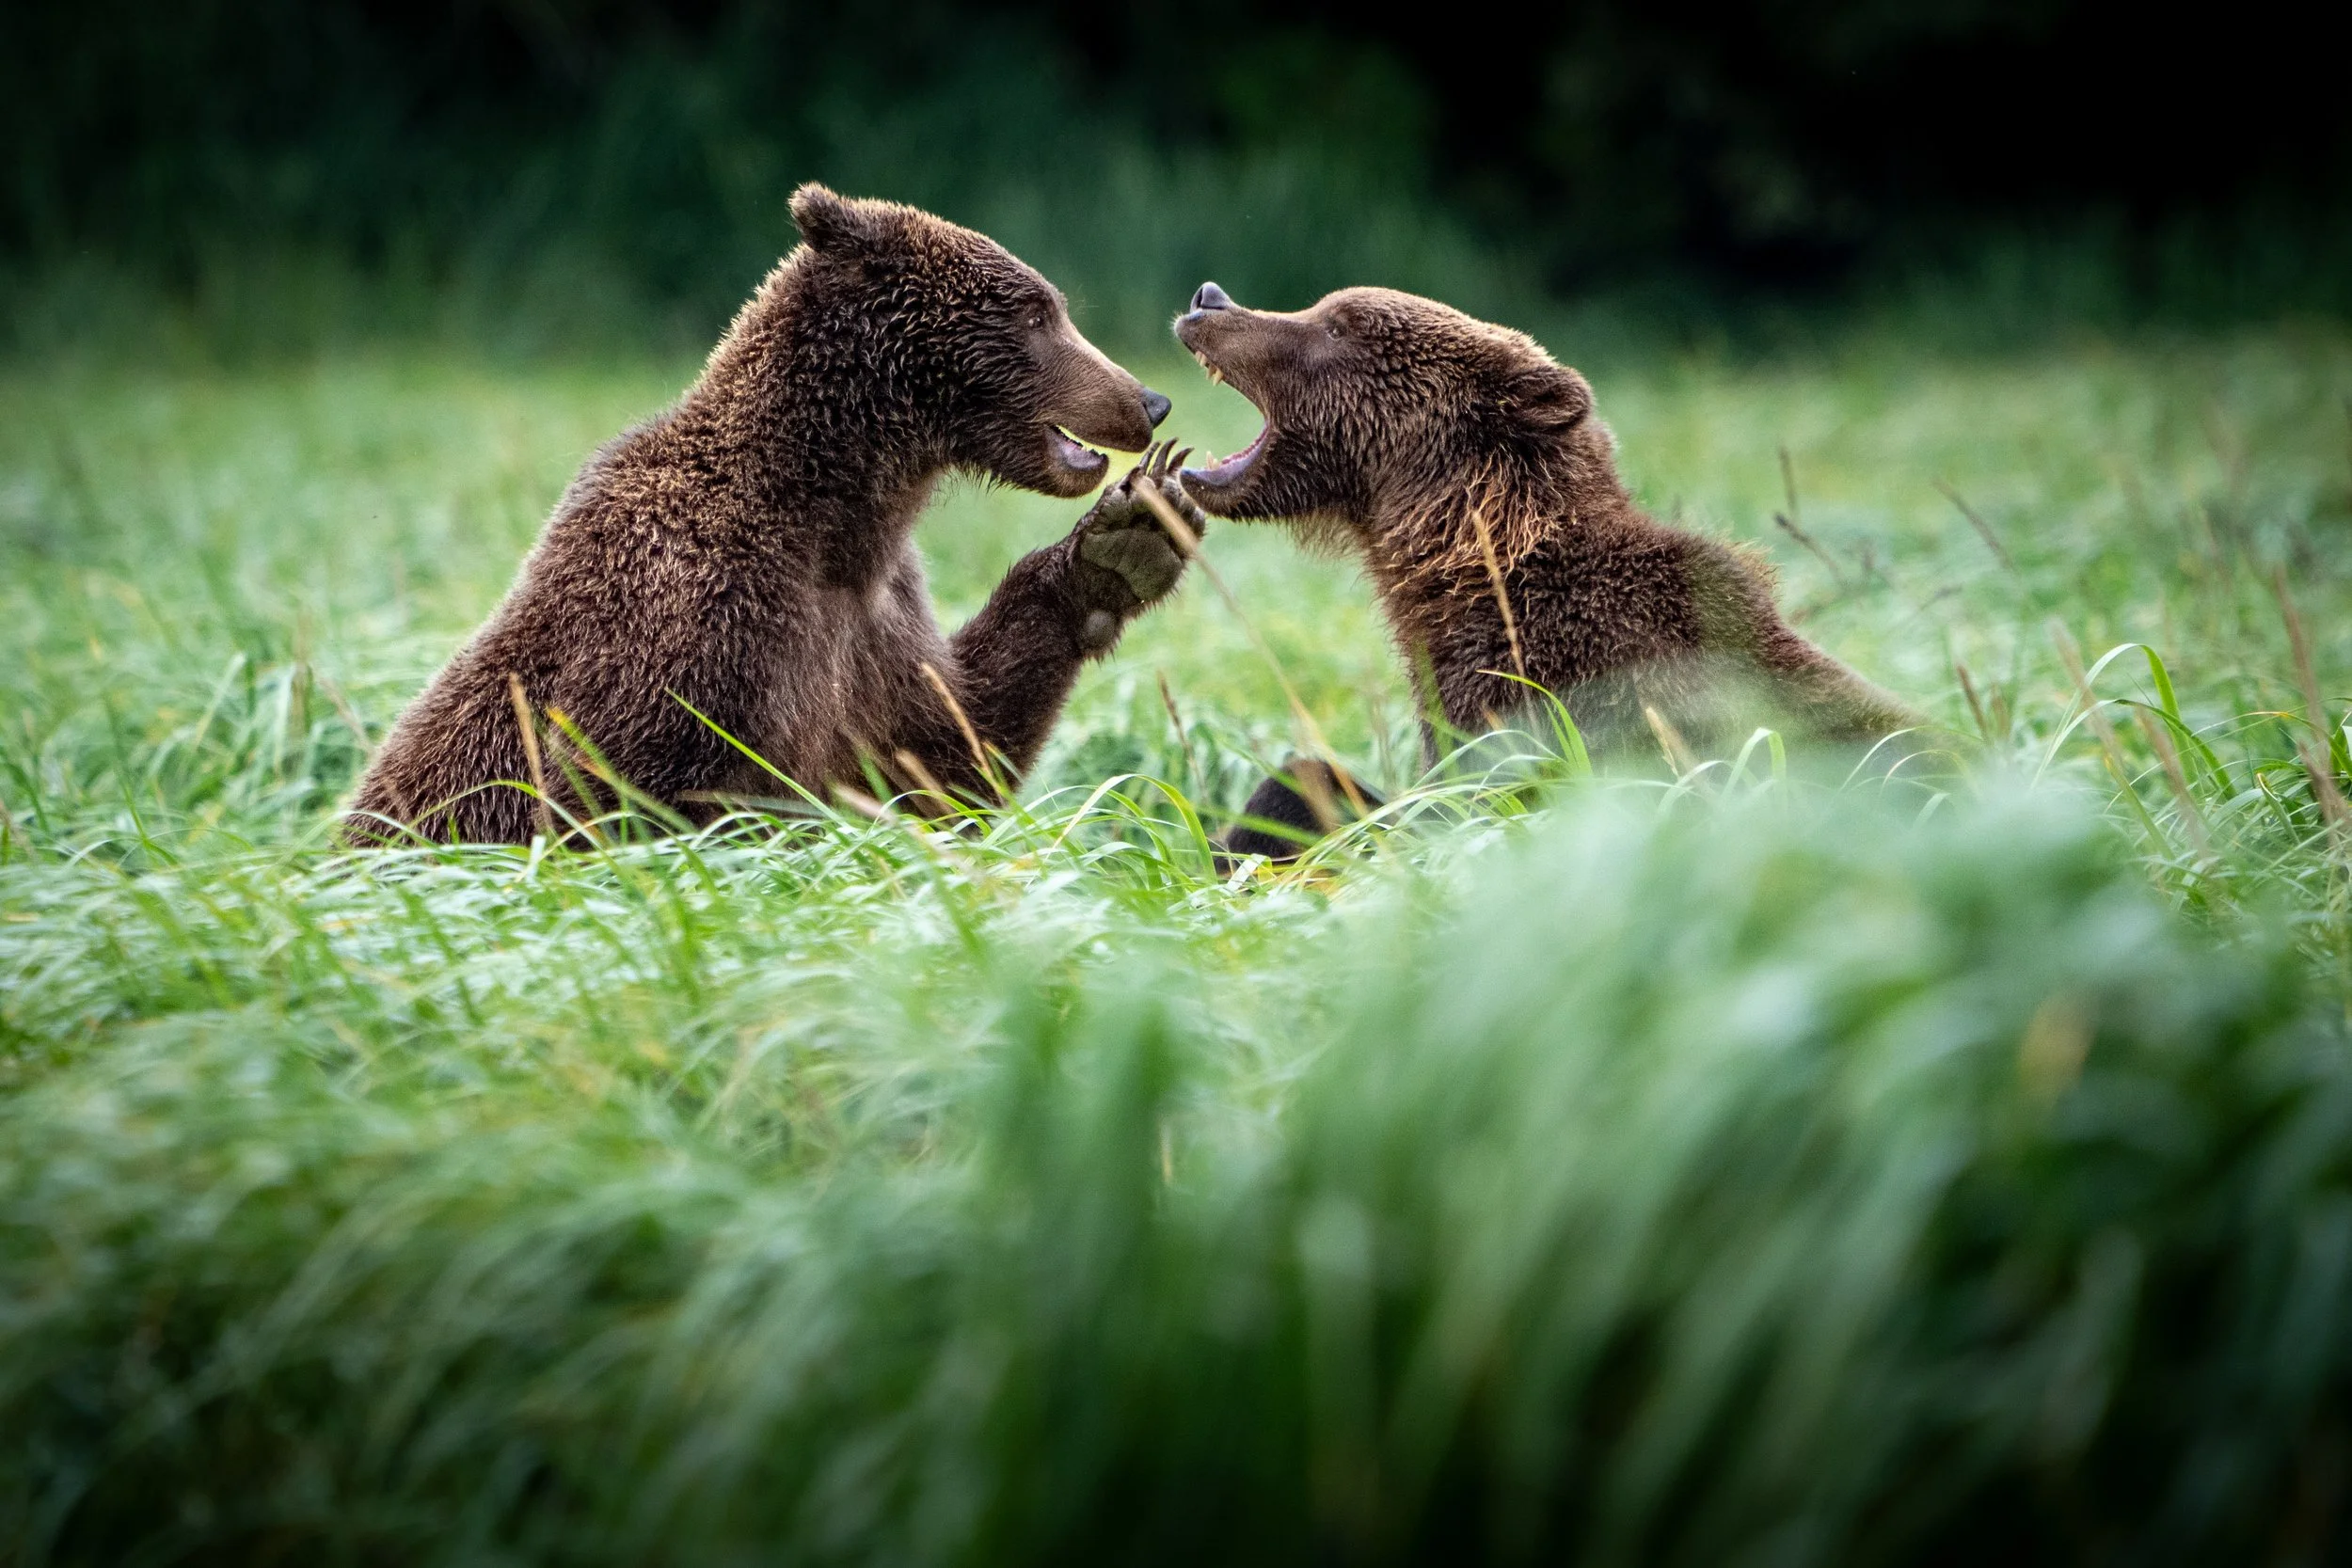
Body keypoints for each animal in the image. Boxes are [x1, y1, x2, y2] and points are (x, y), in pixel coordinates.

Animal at [347, 187, 1206, 845]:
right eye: (1035, 314)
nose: (1148, 401)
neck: (830, 512)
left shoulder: (871, 624)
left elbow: (941, 750)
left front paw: (1126, 542)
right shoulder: (695, 611)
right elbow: (624, 788)